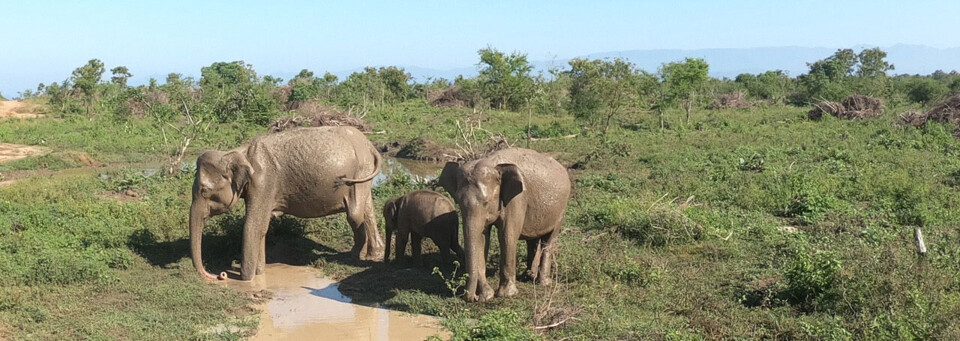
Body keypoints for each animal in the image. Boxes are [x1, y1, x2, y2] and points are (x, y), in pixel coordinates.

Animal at [189, 126, 384, 280]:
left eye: (204, 191)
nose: (218, 275)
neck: (238, 152)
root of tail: (369, 145)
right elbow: (262, 227)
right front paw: (259, 273)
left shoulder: (263, 182)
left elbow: (253, 226)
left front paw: (246, 279)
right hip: (364, 172)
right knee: (366, 209)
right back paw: (374, 254)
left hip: (359, 172)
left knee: (355, 213)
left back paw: (352, 256)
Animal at [440, 146, 568, 300]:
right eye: (457, 201)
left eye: (486, 202)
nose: (473, 297)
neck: (491, 162)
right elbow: (482, 239)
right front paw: (487, 296)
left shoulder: (517, 199)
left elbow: (507, 236)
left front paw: (506, 294)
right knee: (532, 241)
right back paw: (528, 276)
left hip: (561, 210)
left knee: (548, 240)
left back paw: (543, 282)